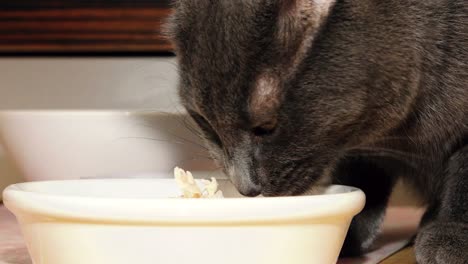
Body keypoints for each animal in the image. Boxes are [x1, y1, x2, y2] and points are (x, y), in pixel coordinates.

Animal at [164, 0, 464, 262]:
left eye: (266, 126)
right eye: (205, 124)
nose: (246, 187)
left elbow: (463, 174)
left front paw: (451, 236)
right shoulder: (360, 146)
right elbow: (363, 178)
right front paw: (348, 233)